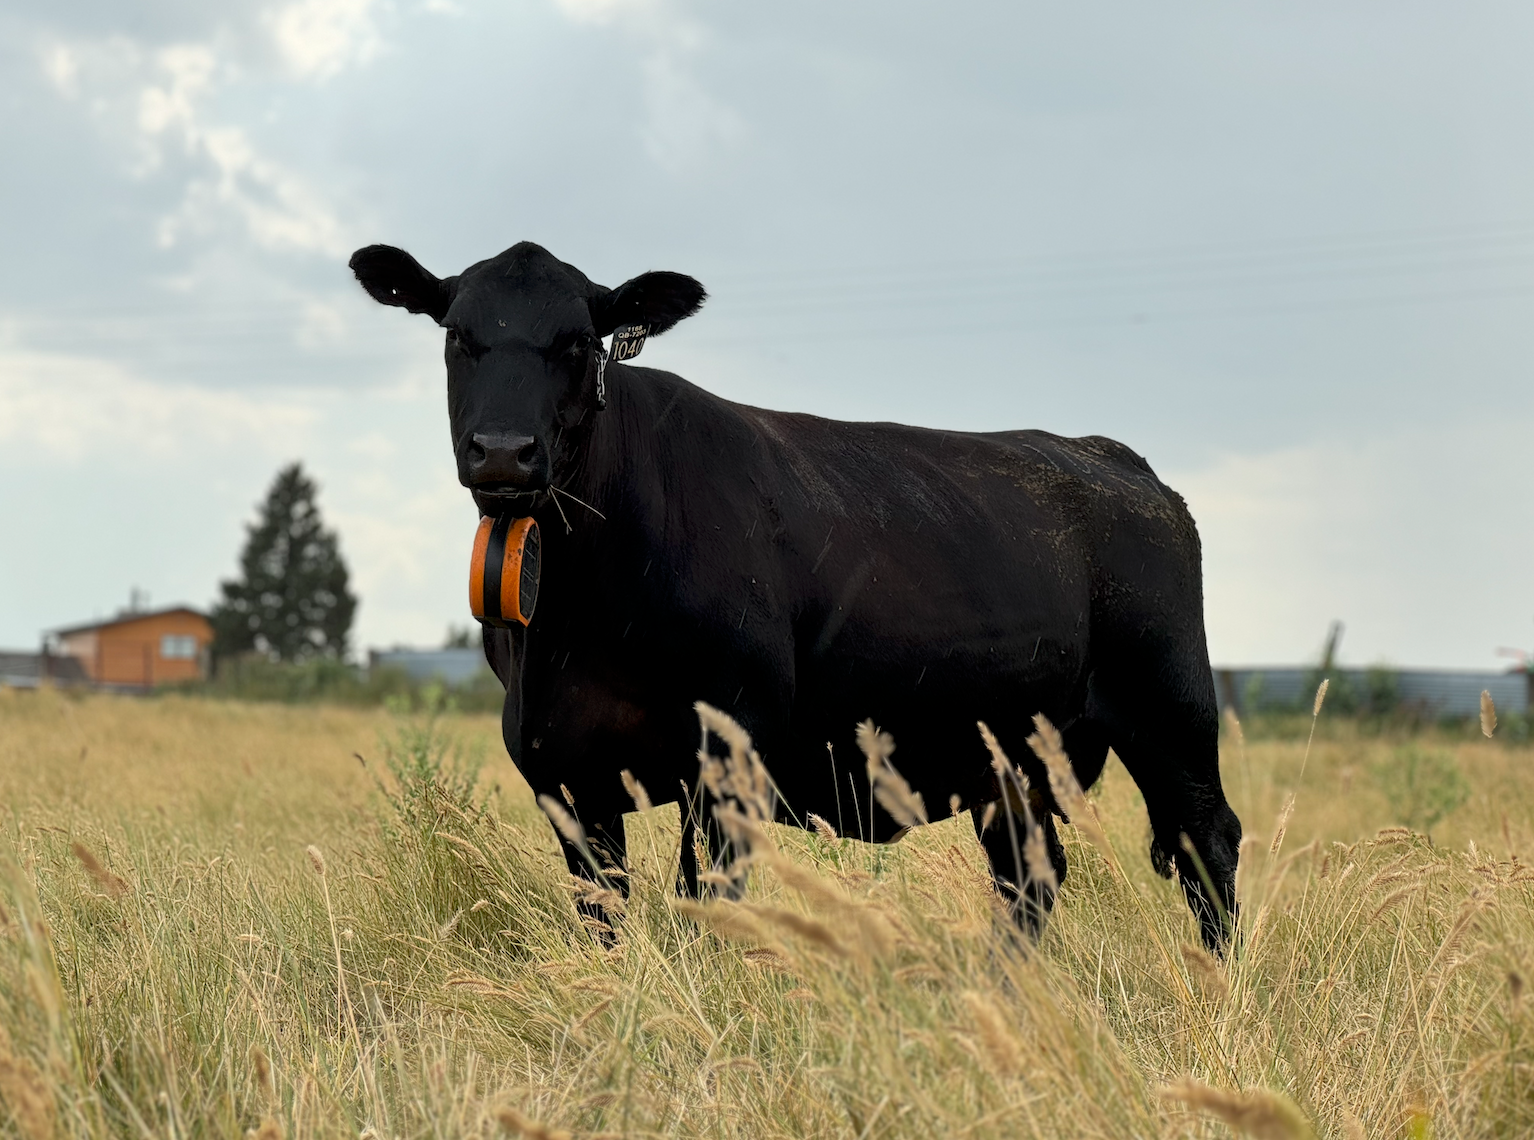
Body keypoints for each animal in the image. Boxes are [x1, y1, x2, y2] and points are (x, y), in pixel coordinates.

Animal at [349, 240, 1243, 950]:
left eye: (578, 342)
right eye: (458, 335)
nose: (504, 451)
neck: (574, 621)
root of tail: (1115, 458)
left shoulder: (730, 750)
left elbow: (707, 905)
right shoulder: (565, 770)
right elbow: (602, 915)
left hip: (1170, 707)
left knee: (1207, 842)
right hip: (1010, 758)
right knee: (1033, 872)